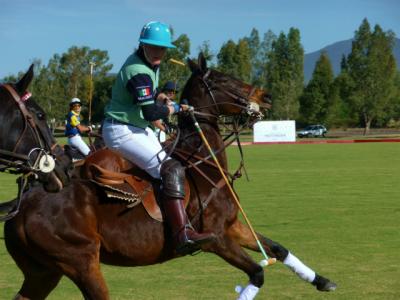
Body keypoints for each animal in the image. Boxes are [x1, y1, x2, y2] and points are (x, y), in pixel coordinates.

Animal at [2, 54, 334, 300]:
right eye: (224, 80)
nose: (266, 96)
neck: (203, 160)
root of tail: (21, 208)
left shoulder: (232, 226)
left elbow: (278, 248)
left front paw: (322, 280)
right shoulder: (215, 239)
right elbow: (258, 273)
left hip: (44, 272)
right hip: (79, 261)